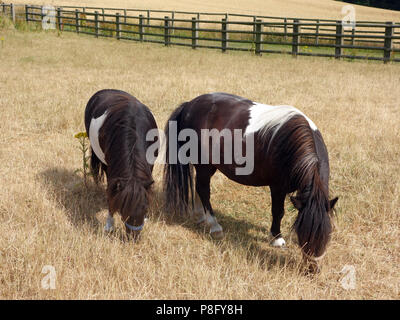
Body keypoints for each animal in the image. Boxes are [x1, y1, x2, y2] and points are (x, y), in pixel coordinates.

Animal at [162, 93, 338, 272]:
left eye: (327, 233)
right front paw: (276, 238)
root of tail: (189, 105)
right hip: (204, 165)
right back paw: (214, 226)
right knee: (203, 190)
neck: (290, 144)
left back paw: (200, 215)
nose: (312, 269)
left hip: (208, 167)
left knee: (199, 189)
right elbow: (278, 212)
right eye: (304, 234)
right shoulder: (277, 187)